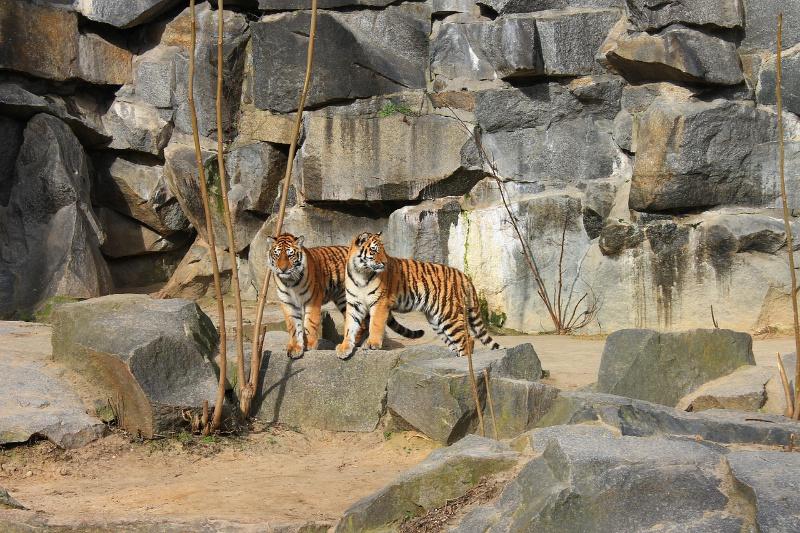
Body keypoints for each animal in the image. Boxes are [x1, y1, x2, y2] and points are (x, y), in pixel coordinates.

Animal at [268, 233, 424, 358]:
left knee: (362, 324)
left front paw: (310, 345)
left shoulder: (312, 300)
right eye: (277, 254)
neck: (290, 281)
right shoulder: (288, 303)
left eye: (290, 255)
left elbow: (309, 323)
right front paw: (295, 348)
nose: (282, 269)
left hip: (346, 299)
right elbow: (294, 326)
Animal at [336, 232, 500, 360]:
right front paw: (344, 348)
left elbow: (375, 324)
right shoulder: (354, 304)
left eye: (383, 250)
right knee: (456, 342)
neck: (360, 273)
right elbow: (350, 327)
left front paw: (373, 344)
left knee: (468, 340)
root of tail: (463, 275)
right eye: (374, 250)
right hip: (437, 321)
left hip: (450, 315)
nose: (385, 263)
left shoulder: (380, 302)